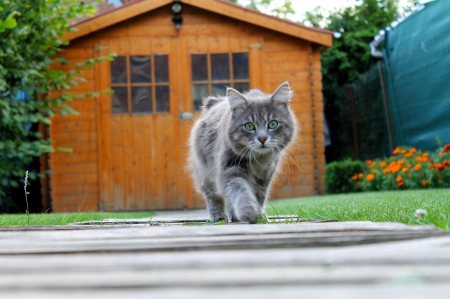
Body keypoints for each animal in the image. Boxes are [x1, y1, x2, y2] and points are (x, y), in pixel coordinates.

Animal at [187, 83, 298, 224]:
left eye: (273, 124)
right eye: (249, 126)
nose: (262, 138)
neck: (257, 159)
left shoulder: (264, 176)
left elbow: (259, 196)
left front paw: (258, 215)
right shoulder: (230, 170)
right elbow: (240, 191)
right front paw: (248, 210)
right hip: (205, 173)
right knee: (212, 196)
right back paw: (218, 216)